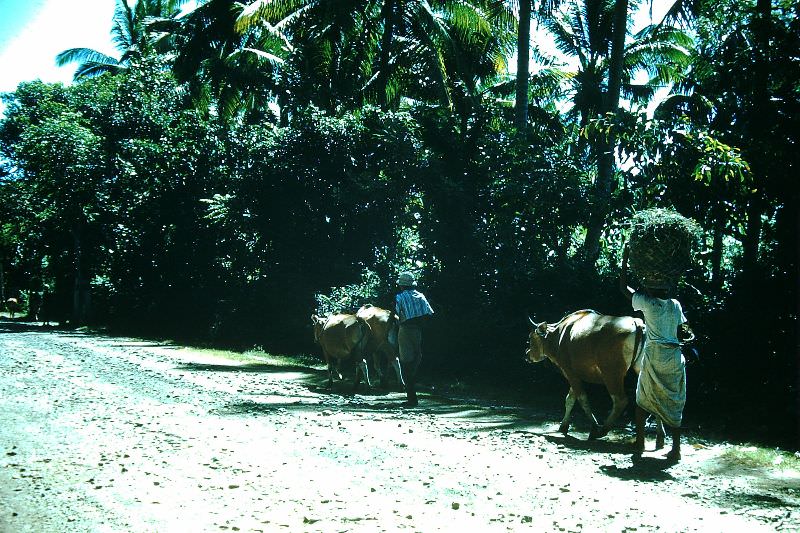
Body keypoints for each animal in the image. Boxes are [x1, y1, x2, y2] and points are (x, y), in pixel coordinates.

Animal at [528, 310, 648, 438]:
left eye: (531, 337)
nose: (527, 354)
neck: (558, 335)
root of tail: (637, 323)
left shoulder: (570, 373)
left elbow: (582, 400)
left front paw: (594, 426)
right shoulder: (576, 375)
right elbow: (570, 400)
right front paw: (563, 426)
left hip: (611, 375)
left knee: (621, 400)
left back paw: (602, 430)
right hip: (641, 370)